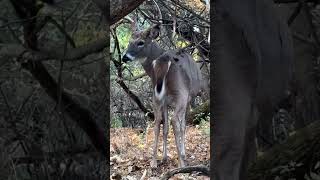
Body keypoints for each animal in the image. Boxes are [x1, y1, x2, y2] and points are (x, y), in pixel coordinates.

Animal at [121, 23, 206, 168]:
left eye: (140, 42)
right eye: (129, 41)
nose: (125, 57)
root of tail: (164, 60)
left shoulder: (165, 101)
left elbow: (165, 127)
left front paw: (165, 156)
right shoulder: (188, 98)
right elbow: (182, 126)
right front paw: (182, 154)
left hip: (156, 97)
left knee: (157, 122)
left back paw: (154, 162)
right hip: (181, 93)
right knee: (174, 121)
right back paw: (181, 164)